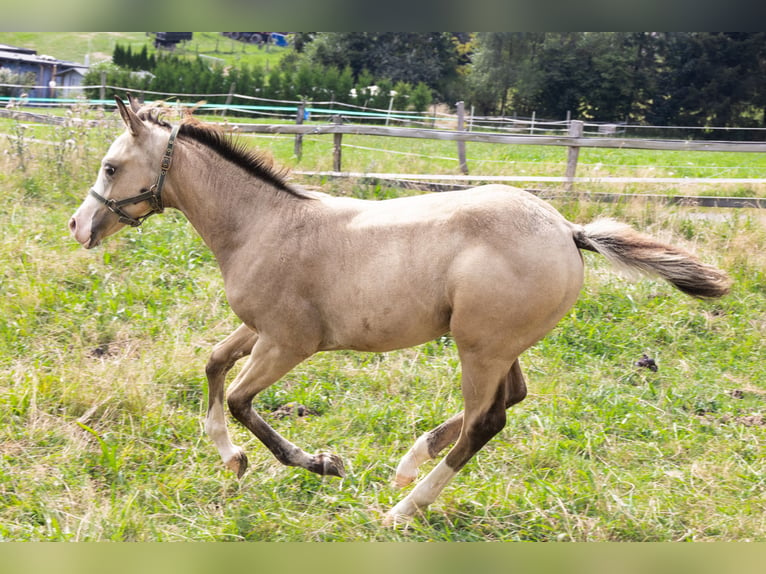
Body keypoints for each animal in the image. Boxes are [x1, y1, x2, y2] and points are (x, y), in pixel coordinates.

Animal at [70, 98, 732, 528]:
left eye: (110, 167)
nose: (78, 225)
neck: (264, 225)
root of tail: (568, 230)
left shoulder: (289, 343)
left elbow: (239, 398)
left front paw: (320, 463)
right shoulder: (260, 330)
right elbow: (212, 364)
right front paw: (231, 458)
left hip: (478, 348)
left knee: (485, 422)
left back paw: (402, 508)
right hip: (498, 347)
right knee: (510, 399)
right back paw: (409, 465)